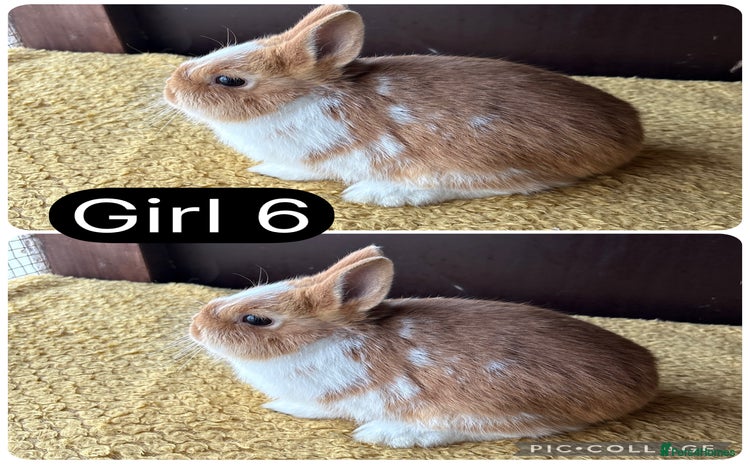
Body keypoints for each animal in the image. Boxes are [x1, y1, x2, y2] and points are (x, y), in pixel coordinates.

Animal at [164, 5, 644, 207]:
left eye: (230, 80)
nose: (170, 89)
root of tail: (631, 130)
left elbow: (299, 170)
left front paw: (265, 170)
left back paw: (376, 193)